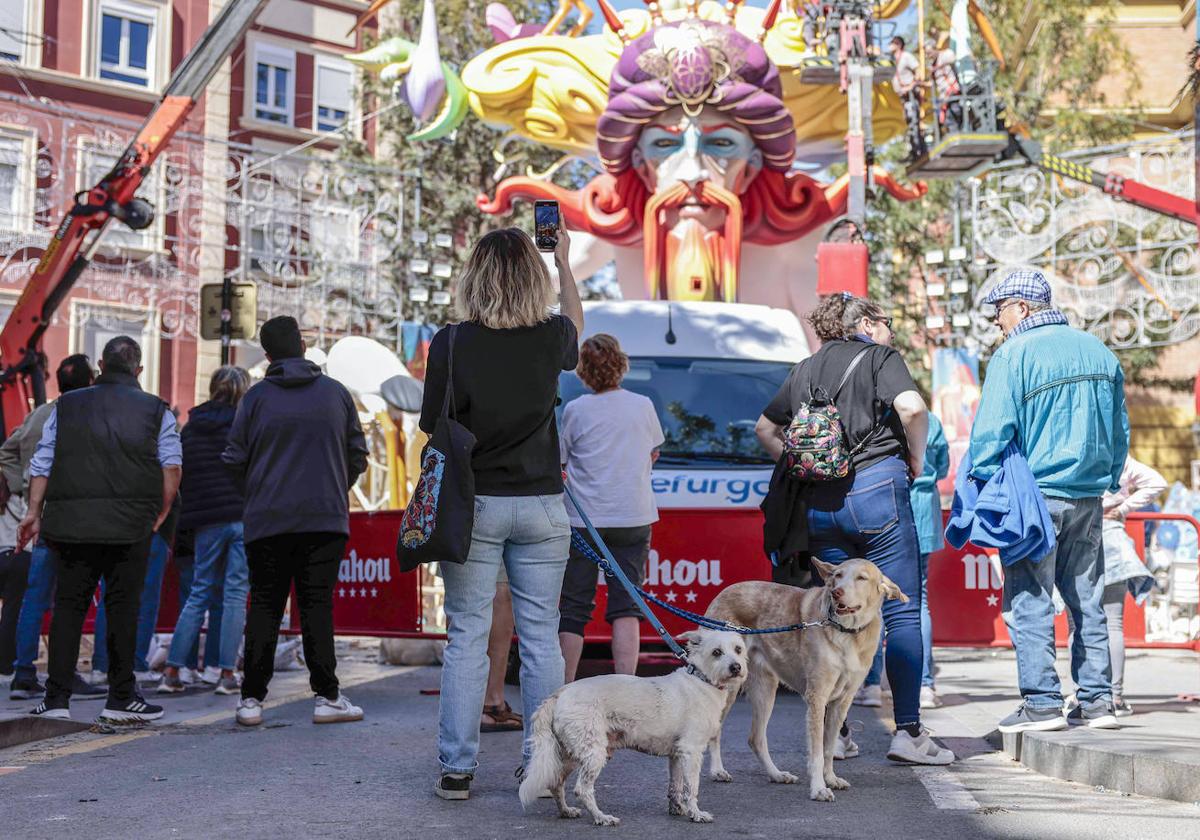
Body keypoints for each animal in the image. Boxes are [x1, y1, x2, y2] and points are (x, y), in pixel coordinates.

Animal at [518, 628, 744, 825]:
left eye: (739, 649)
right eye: (716, 652)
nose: (736, 667)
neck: (701, 679)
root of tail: (559, 694)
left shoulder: (677, 755)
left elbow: (676, 786)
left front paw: (677, 808)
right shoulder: (692, 751)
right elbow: (692, 788)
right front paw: (696, 813)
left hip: (569, 755)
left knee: (556, 783)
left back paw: (566, 811)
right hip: (593, 754)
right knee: (582, 790)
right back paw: (602, 818)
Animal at [700, 561, 902, 801]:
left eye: (861, 578)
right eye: (838, 576)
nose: (836, 593)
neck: (848, 633)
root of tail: (723, 592)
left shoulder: (841, 703)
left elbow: (828, 748)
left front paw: (831, 779)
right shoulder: (817, 697)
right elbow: (816, 754)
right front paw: (818, 788)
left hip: (765, 689)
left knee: (755, 738)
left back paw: (776, 774)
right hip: (727, 687)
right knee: (716, 731)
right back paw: (717, 771)